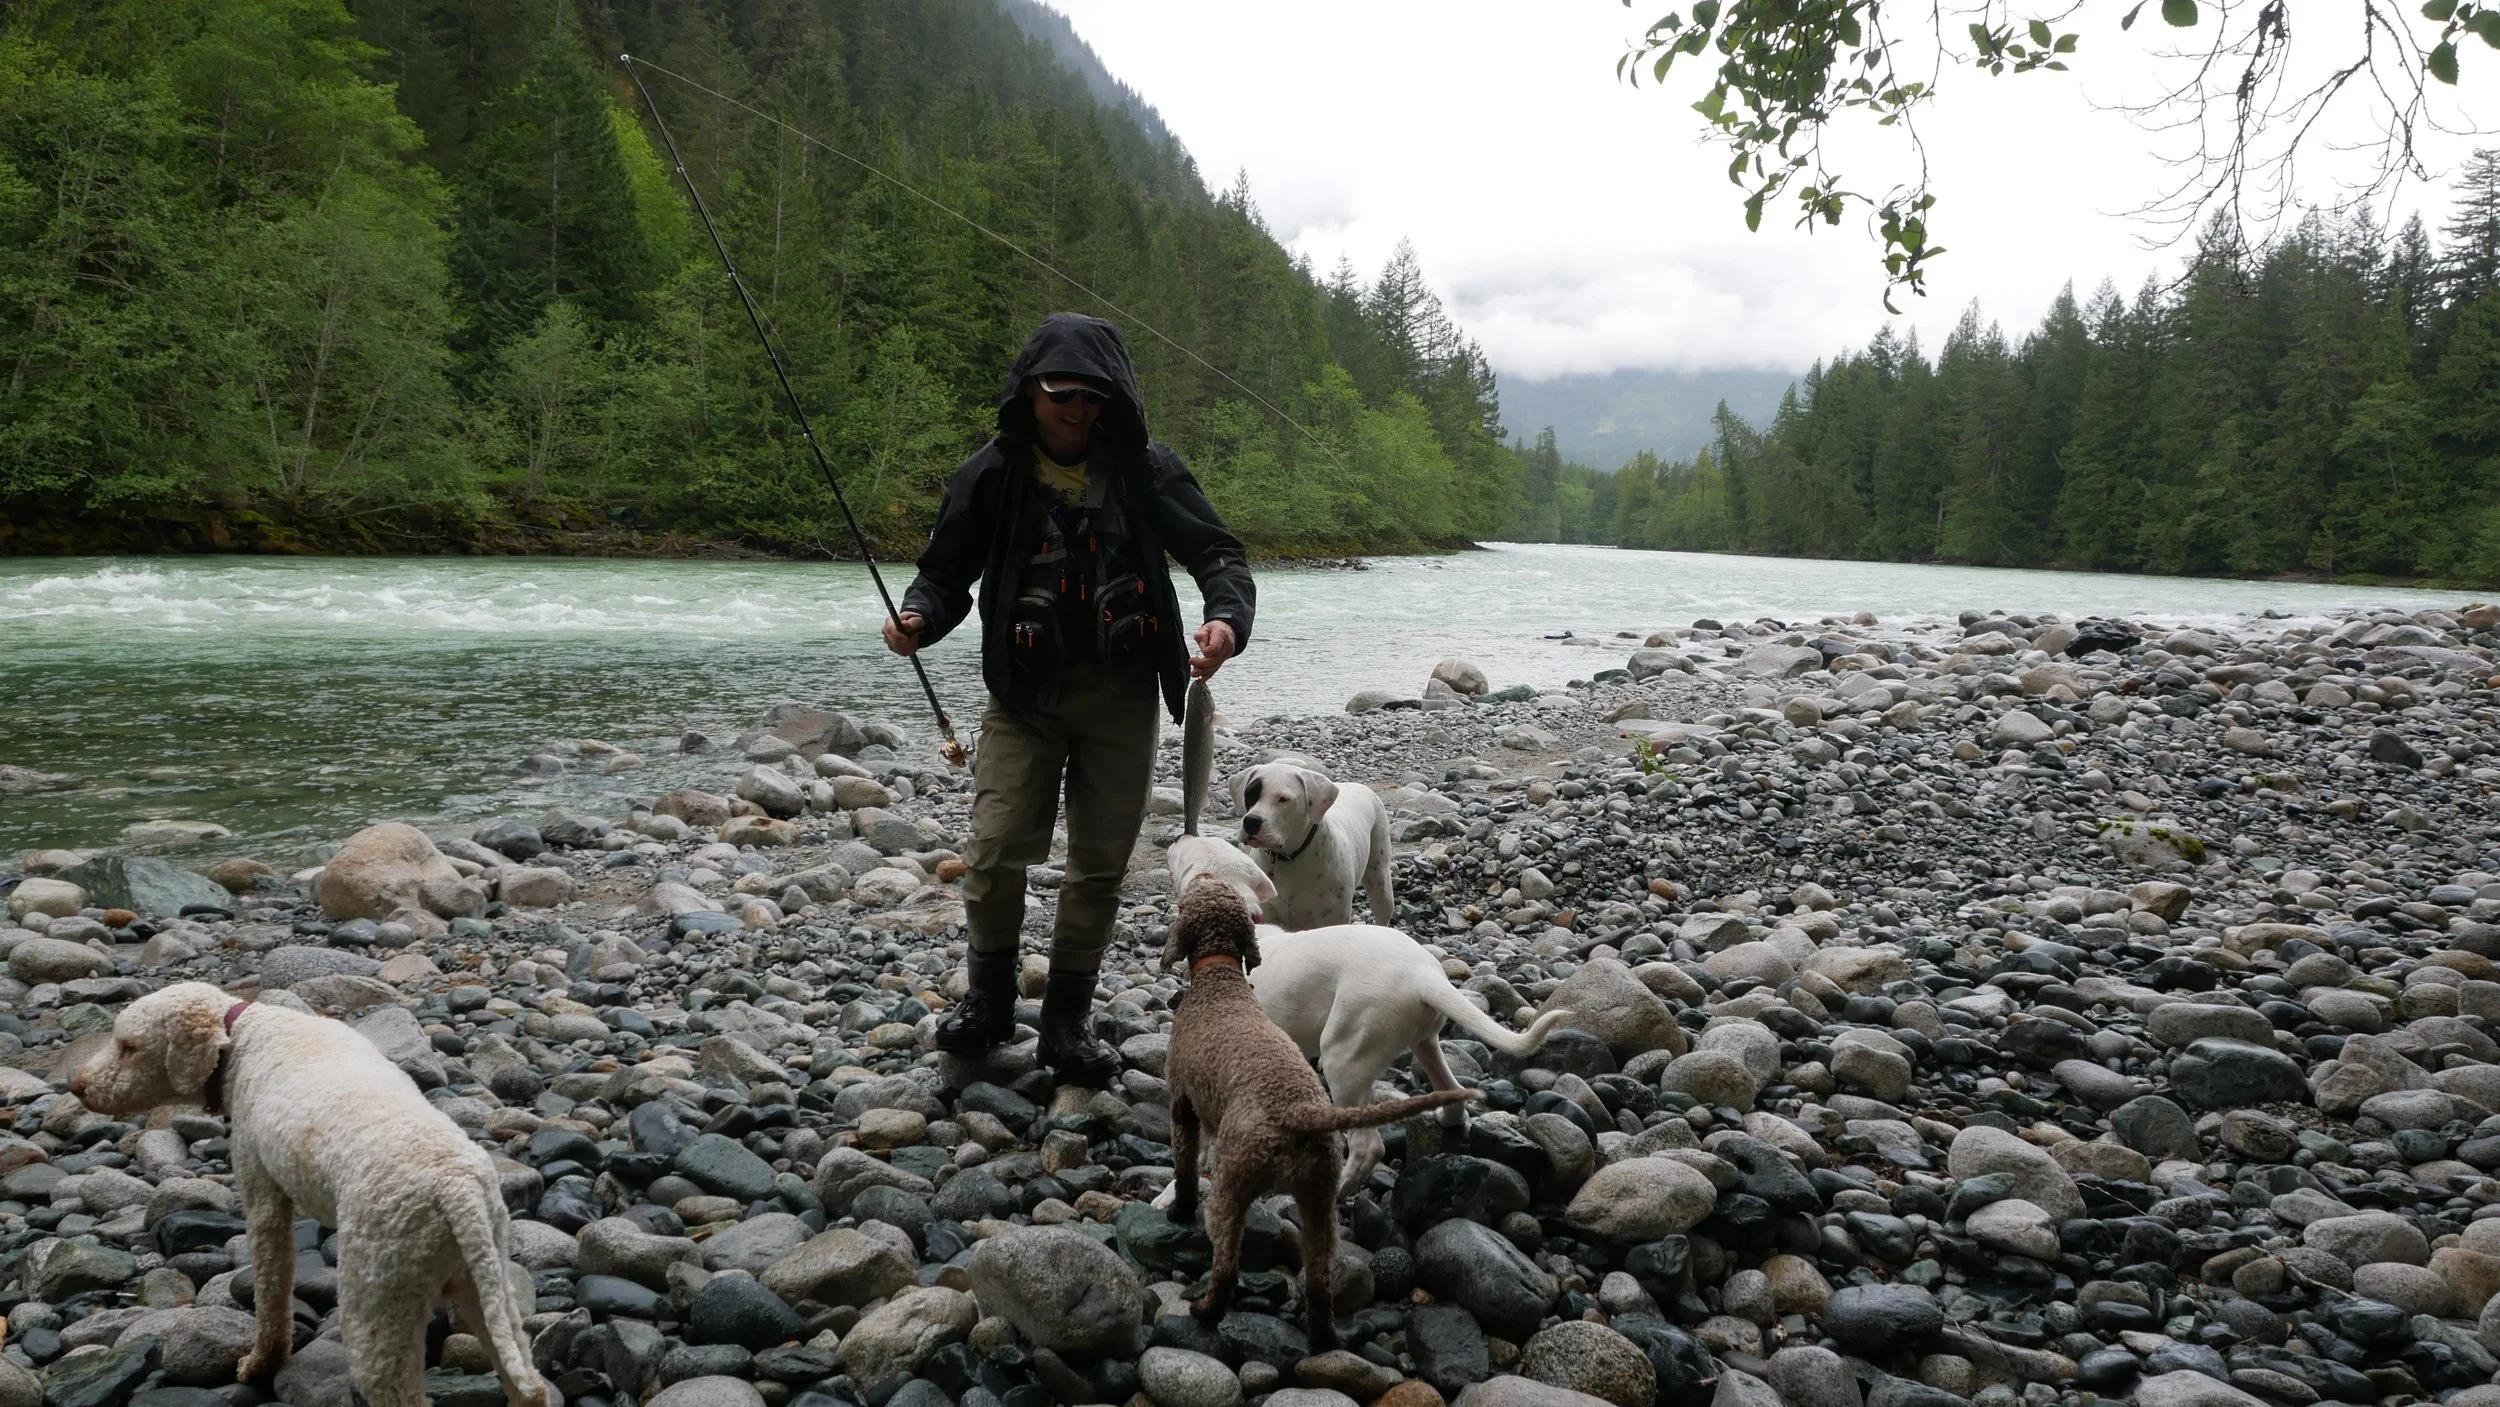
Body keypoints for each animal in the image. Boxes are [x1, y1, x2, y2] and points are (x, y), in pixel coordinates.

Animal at [72, 984, 548, 1407]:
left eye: (128, 1047)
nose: (76, 1085)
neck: (245, 1032)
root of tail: (456, 1188)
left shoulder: (260, 1185)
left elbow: (271, 1285)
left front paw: (260, 1364)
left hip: (379, 1291)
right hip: (484, 1274)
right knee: (527, 1379)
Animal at [1162, 876, 1476, 1348]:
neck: (1223, 974)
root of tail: (1425, 975)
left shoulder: (1188, 1101)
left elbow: (1187, 1160)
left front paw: (1171, 1201)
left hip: (1343, 1056)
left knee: (1368, 1146)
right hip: (1423, 1044)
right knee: (1452, 1092)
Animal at [1166, 838, 1577, 1193]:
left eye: (1184, 858)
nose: (1180, 836)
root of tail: (1424, 976)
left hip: (1345, 1055)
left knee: (1369, 1146)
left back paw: (1337, 1193)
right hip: (1422, 1042)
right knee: (1451, 1090)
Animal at [1230, 756, 1395, 931]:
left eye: (1283, 799)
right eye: (1249, 794)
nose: (1251, 821)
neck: (1287, 859)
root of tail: (1359, 785)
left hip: (1380, 881)